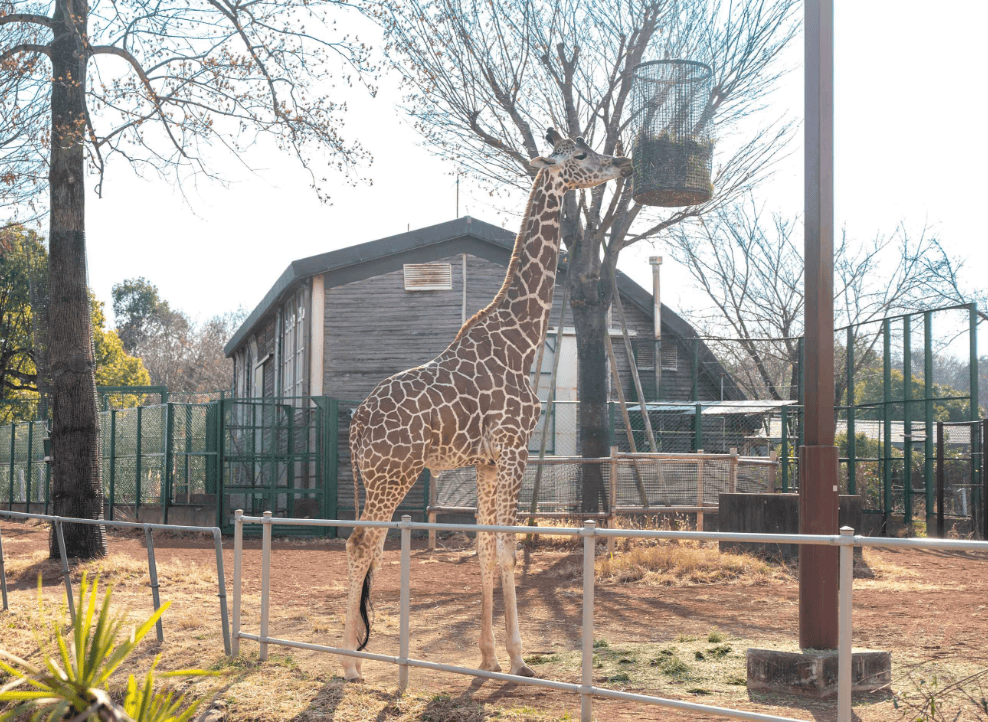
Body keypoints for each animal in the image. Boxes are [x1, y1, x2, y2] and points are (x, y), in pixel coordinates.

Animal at [342, 128, 632, 680]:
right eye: (580, 154)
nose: (622, 163)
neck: (521, 338)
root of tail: (357, 422)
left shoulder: (487, 460)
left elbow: (482, 548)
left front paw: (488, 656)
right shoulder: (515, 447)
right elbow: (507, 549)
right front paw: (519, 658)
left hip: (374, 476)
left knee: (364, 545)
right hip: (395, 473)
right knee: (361, 545)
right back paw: (349, 664)